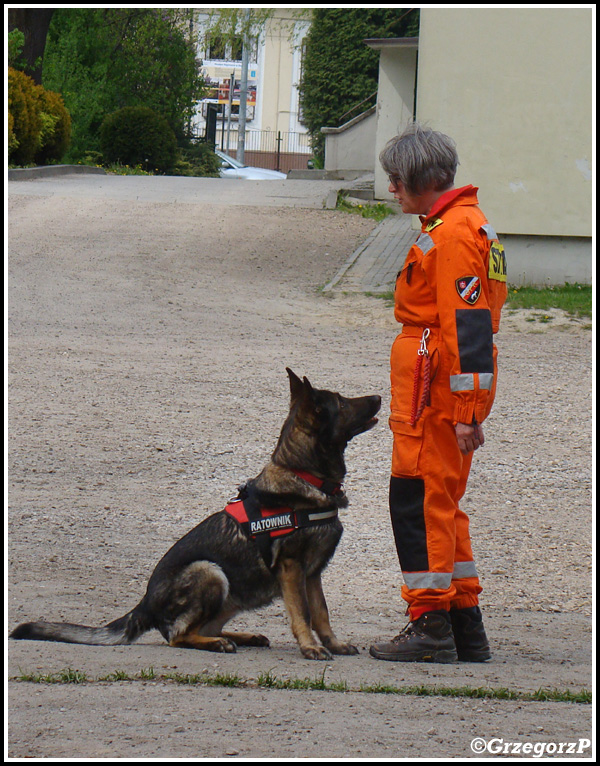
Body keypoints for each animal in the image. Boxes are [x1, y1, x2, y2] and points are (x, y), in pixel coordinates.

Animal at [10, 370, 380, 660]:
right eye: (342, 403)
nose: (379, 395)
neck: (304, 476)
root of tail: (145, 603)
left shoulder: (313, 573)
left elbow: (322, 613)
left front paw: (333, 644)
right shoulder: (293, 571)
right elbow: (302, 613)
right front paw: (310, 647)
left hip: (232, 591)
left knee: (203, 627)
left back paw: (240, 637)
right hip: (209, 572)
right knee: (178, 636)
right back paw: (217, 644)